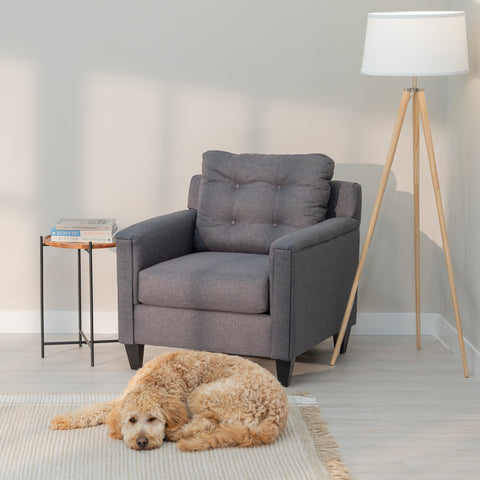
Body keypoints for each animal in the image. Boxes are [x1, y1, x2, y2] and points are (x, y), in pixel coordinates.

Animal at [49, 350, 288, 452]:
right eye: (132, 420)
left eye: (153, 419)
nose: (142, 442)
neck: (153, 382)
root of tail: (276, 414)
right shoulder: (120, 400)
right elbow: (94, 409)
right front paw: (62, 420)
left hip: (204, 394)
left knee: (206, 423)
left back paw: (175, 434)